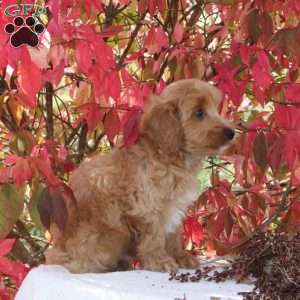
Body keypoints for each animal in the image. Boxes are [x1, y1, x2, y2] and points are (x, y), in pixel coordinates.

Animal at [45, 78, 236, 274]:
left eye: (215, 109)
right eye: (199, 113)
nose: (231, 133)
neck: (170, 155)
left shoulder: (174, 208)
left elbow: (174, 235)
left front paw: (181, 257)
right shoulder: (147, 206)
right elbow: (154, 237)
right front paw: (160, 261)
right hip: (111, 235)